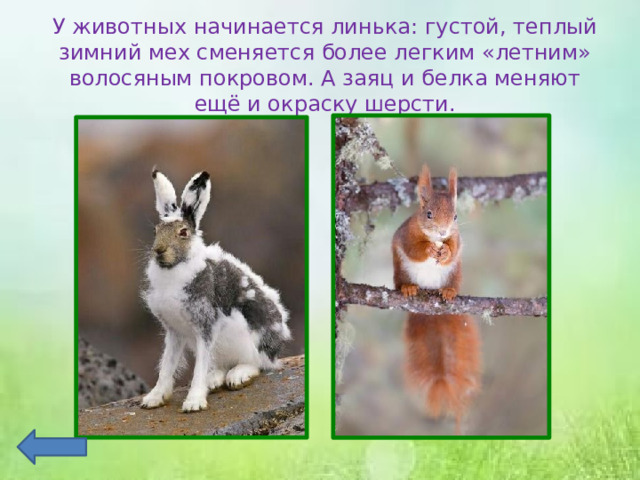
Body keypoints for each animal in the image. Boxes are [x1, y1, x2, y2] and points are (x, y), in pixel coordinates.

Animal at [140, 168, 291, 413]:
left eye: (183, 232)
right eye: (156, 230)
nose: (159, 250)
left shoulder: (205, 326)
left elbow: (198, 367)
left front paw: (193, 403)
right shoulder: (175, 331)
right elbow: (167, 365)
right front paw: (153, 399)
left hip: (246, 335)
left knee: (257, 364)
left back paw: (237, 376)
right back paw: (215, 379)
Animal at [392, 165, 481, 434]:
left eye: (455, 216)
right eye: (428, 214)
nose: (442, 231)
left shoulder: (456, 238)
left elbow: (453, 247)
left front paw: (445, 251)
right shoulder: (407, 235)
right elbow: (415, 248)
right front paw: (430, 250)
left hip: (454, 274)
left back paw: (449, 292)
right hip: (401, 271)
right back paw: (409, 288)